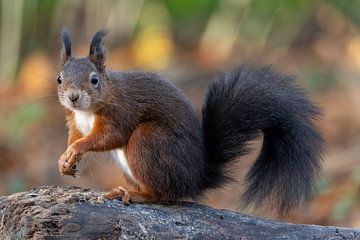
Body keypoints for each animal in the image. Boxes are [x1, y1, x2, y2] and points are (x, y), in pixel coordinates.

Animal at [56, 29, 324, 215]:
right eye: (59, 78)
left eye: (94, 79)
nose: (73, 97)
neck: (86, 111)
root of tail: (195, 178)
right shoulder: (74, 120)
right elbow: (76, 136)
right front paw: (65, 159)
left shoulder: (121, 112)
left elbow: (109, 136)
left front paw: (76, 150)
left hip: (148, 141)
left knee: (164, 194)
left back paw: (134, 194)